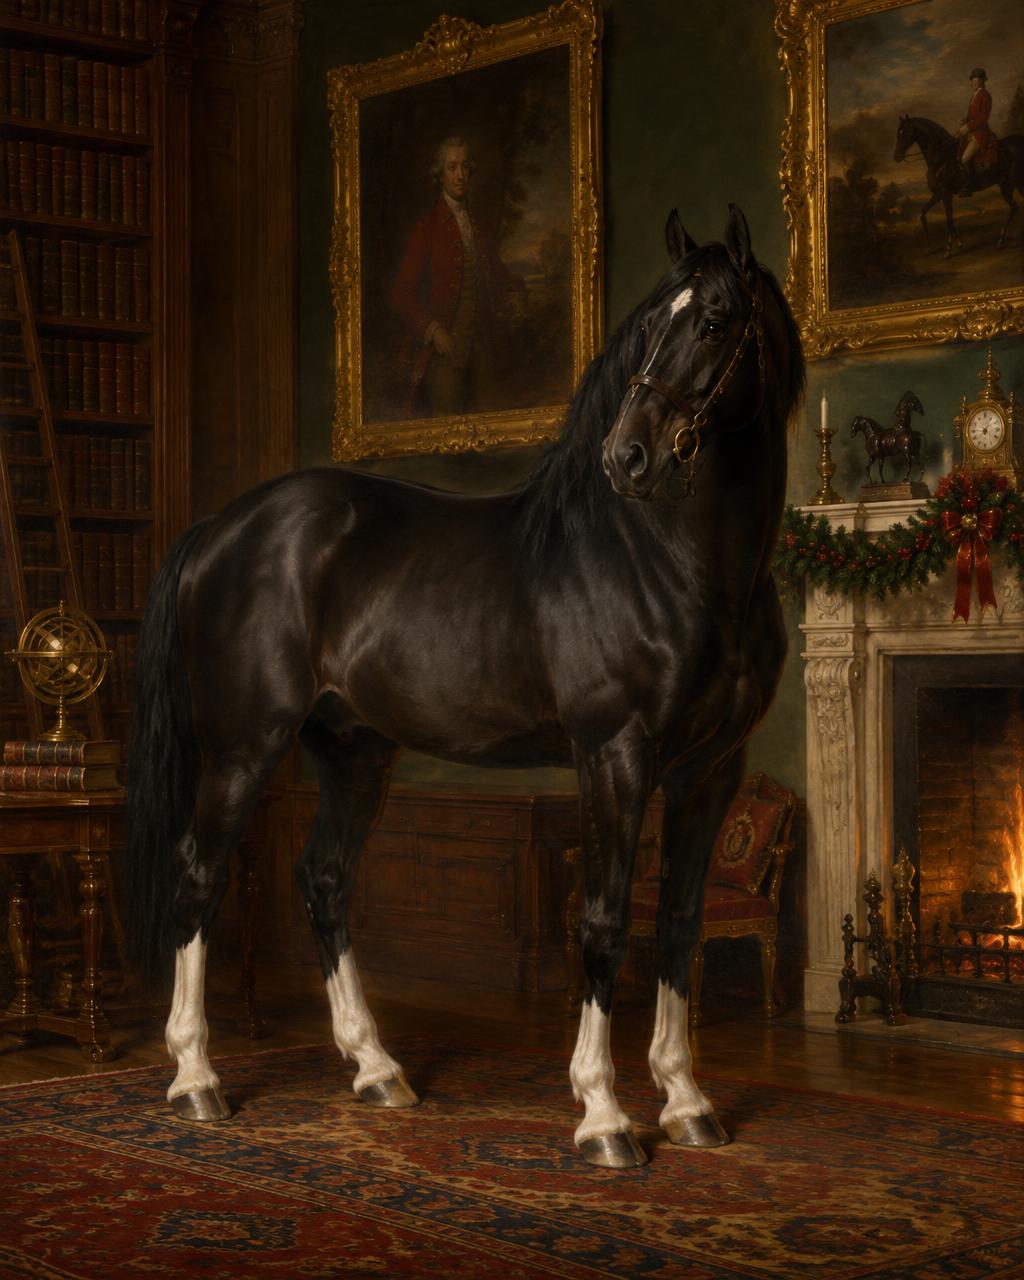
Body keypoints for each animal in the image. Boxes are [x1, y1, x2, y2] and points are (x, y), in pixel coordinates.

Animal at [123, 205, 805, 1171]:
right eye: (647, 328)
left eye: (713, 322)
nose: (627, 456)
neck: (674, 562)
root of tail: (221, 526)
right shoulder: (616, 756)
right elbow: (604, 922)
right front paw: (603, 1116)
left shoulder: (711, 770)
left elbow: (677, 922)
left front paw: (687, 1102)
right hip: (244, 747)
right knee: (198, 875)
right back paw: (196, 1079)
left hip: (354, 752)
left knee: (323, 878)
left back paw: (377, 1069)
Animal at [893, 115, 1024, 257]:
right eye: (898, 133)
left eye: (905, 133)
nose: (896, 157)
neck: (941, 156)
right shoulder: (940, 193)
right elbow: (925, 214)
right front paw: (934, 248)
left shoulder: (945, 192)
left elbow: (948, 219)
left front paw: (948, 250)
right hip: (1007, 185)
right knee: (1014, 207)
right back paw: (1002, 242)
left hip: (1012, 184)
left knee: (1014, 207)